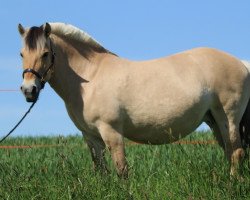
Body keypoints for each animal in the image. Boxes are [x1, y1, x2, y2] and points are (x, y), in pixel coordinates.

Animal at [18, 21, 250, 178]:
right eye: (21, 54)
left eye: (45, 53)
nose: (29, 90)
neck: (90, 78)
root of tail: (241, 63)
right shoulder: (91, 137)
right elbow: (101, 170)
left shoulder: (111, 132)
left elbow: (122, 170)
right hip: (213, 121)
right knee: (230, 152)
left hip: (228, 119)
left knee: (236, 153)